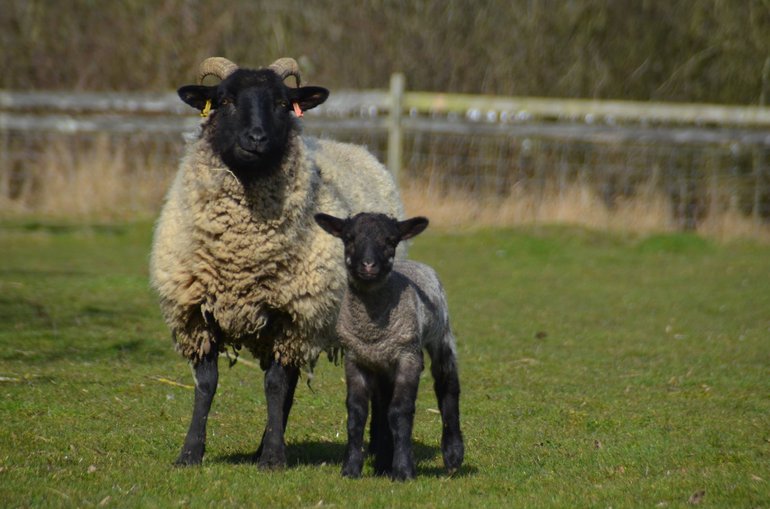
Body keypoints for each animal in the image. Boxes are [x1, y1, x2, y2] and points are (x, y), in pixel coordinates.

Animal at [149, 57, 404, 468]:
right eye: (225, 100)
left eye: (283, 104)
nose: (256, 138)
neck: (241, 255)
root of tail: (356, 149)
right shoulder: (198, 314)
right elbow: (207, 384)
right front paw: (190, 453)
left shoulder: (295, 315)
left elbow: (274, 385)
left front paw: (272, 458)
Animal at [313, 212, 464, 480]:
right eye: (349, 238)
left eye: (390, 240)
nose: (368, 265)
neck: (373, 328)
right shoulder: (355, 358)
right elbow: (357, 413)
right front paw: (351, 468)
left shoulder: (408, 357)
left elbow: (400, 411)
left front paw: (403, 470)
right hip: (383, 364)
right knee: (382, 403)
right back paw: (383, 461)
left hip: (440, 336)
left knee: (447, 386)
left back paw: (453, 454)